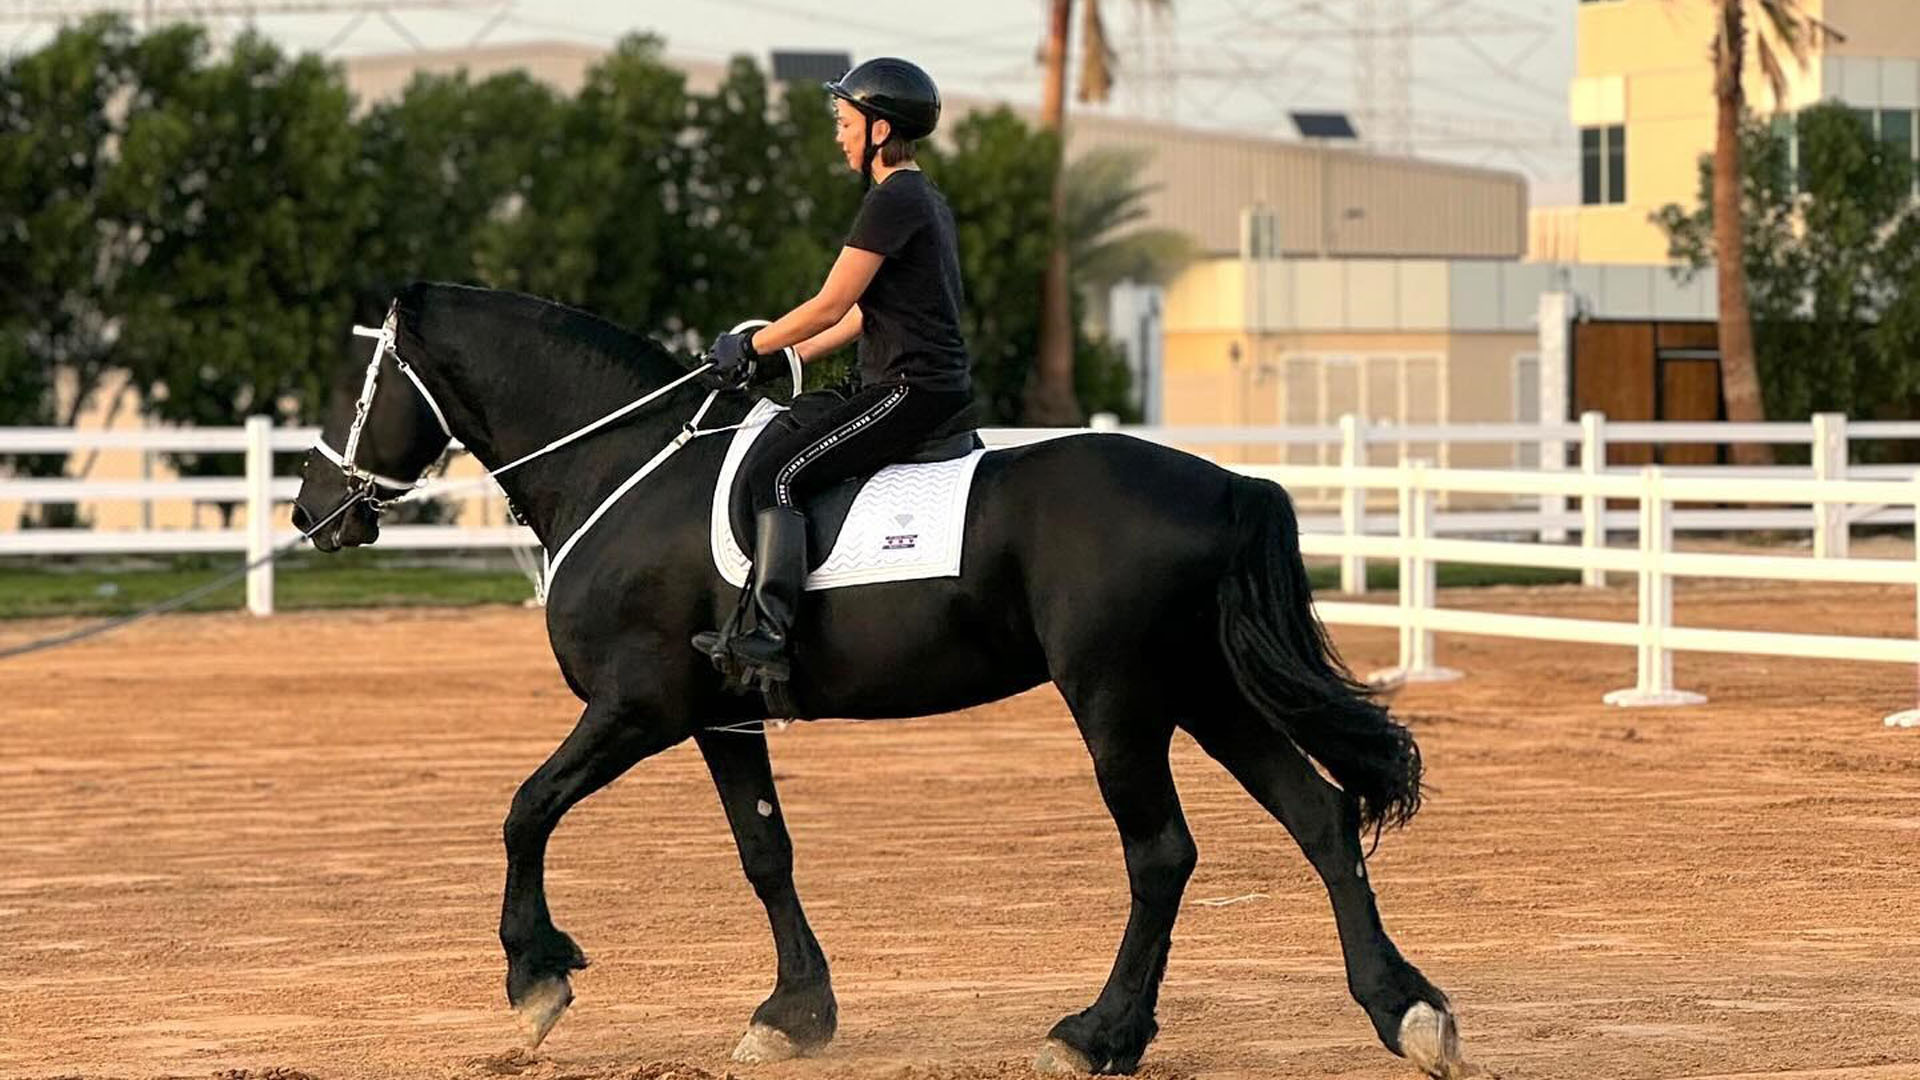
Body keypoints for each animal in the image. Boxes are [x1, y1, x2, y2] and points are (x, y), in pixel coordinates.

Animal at [289, 282, 1466, 1078]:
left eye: (362, 384)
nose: (311, 511)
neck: (624, 471)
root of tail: (1225, 482)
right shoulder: (720, 720)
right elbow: (765, 853)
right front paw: (792, 1014)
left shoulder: (640, 708)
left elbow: (526, 808)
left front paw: (535, 980)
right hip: (1204, 692)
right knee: (1319, 818)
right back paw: (1406, 1012)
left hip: (1119, 701)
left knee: (1164, 854)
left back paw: (1098, 1034)